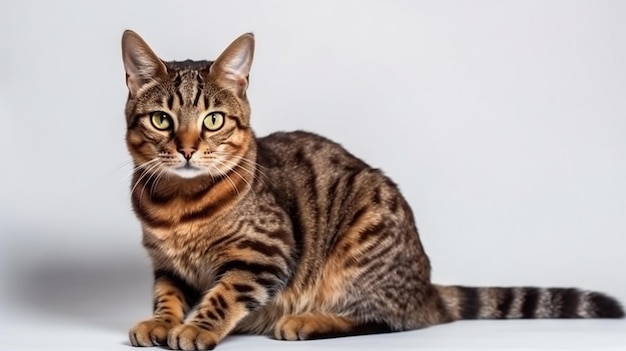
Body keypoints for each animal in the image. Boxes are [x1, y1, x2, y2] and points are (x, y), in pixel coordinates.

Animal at [119, 31, 620, 351]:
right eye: (161, 120)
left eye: (213, 120)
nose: (186, 148)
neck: (179, 206)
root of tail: (425, 288)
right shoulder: (166, 265)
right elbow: (168, 295)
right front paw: (161, 322)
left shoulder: (265, 253)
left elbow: (223, 294)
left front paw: (196, 328)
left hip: (360, 243)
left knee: (387, 319)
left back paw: (306, 320)